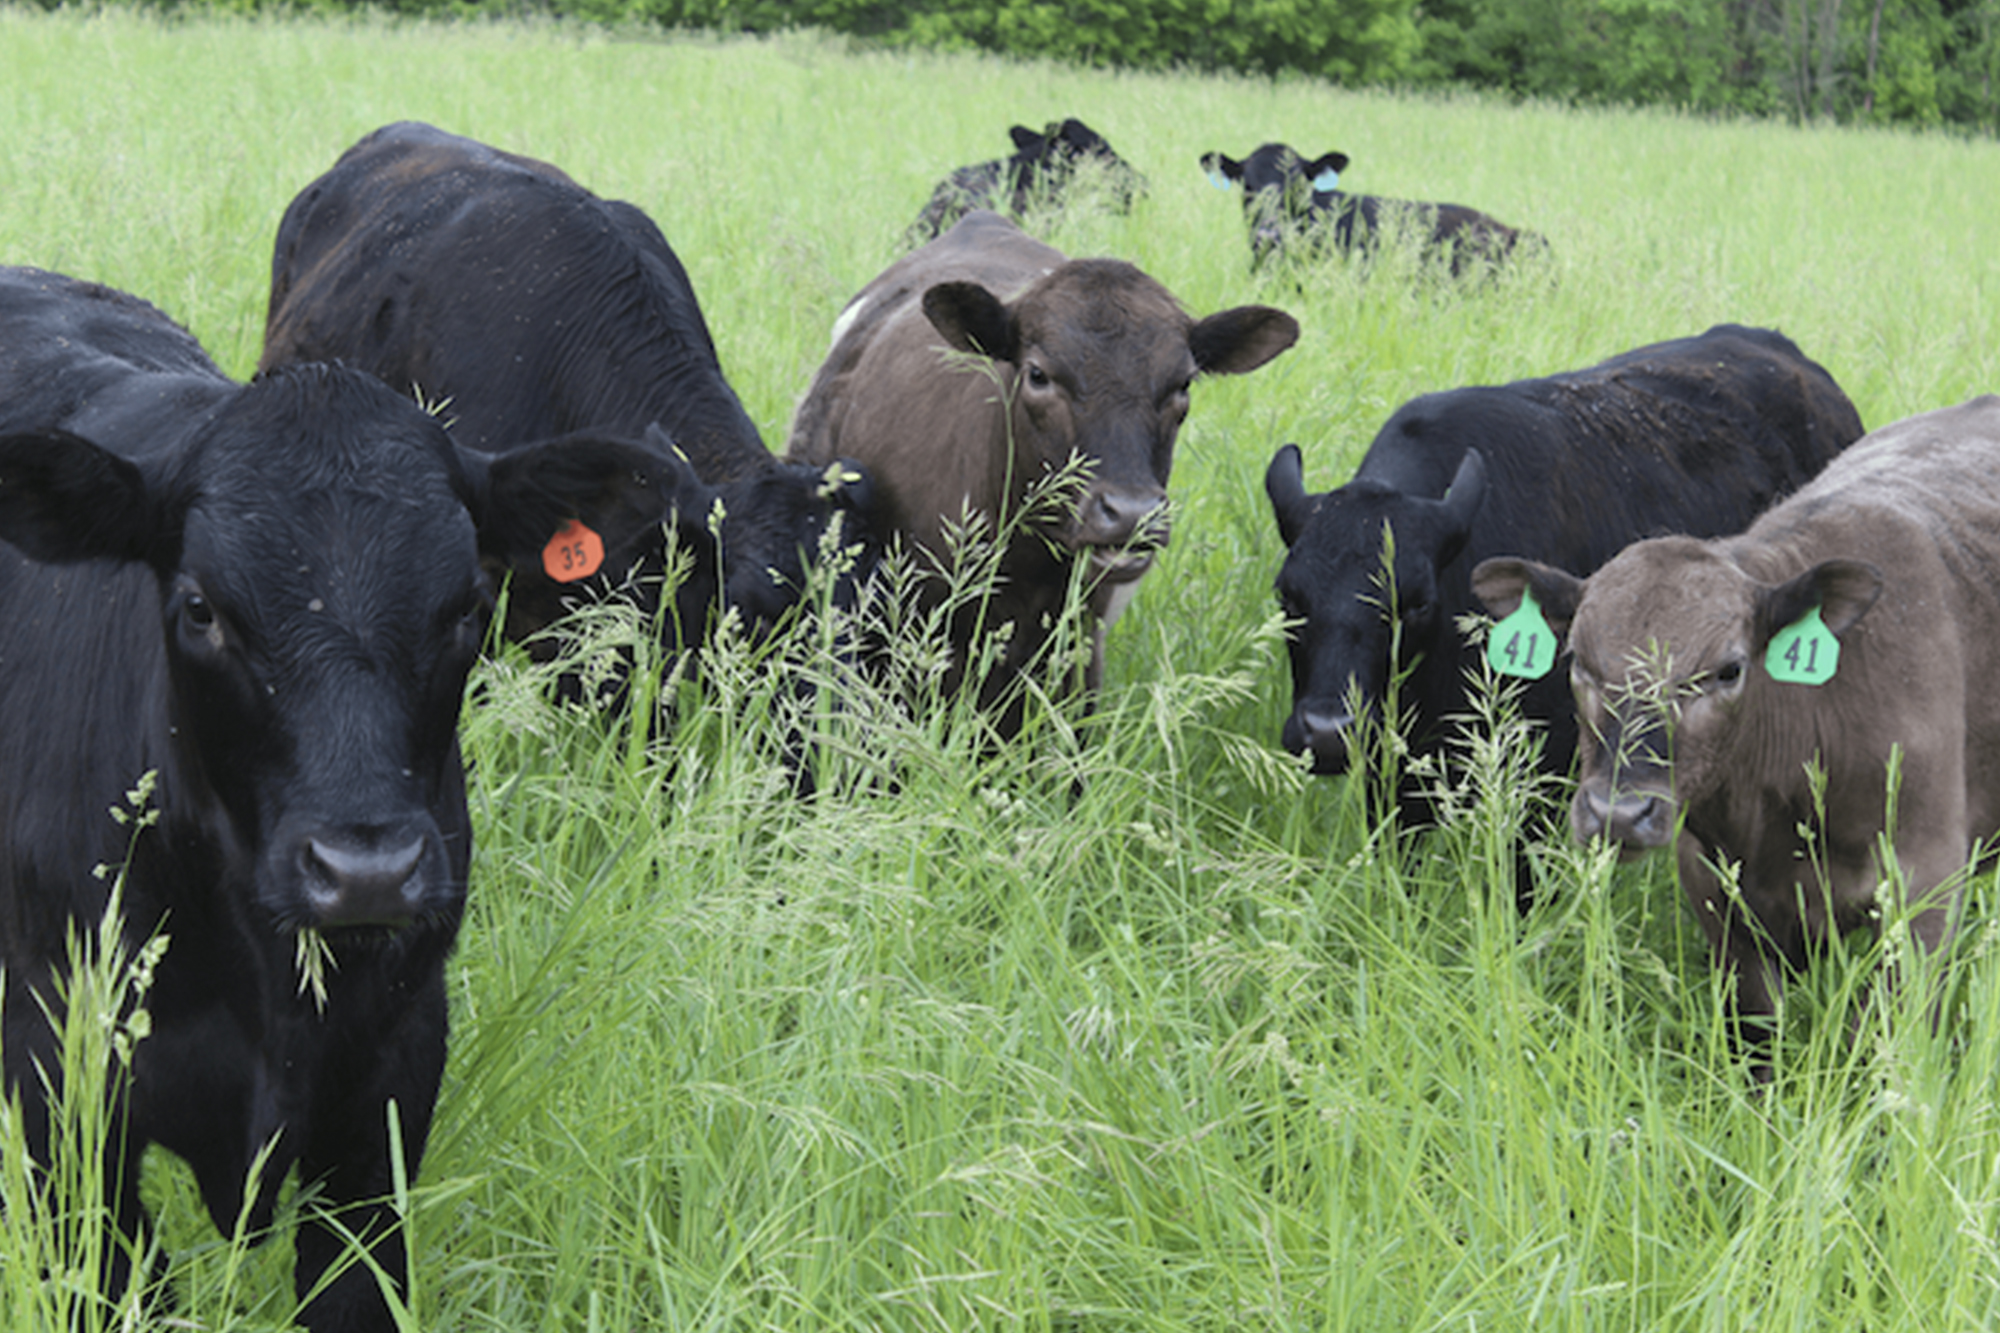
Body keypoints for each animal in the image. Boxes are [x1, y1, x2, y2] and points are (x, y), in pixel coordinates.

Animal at [1472, 396, 2000, 1077]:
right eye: (1579, 664)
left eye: (1727, 670)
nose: (1618, 813)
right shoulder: (1715, 890)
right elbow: (1755, 1034)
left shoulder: (1924, 889)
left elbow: (1874, 1045)